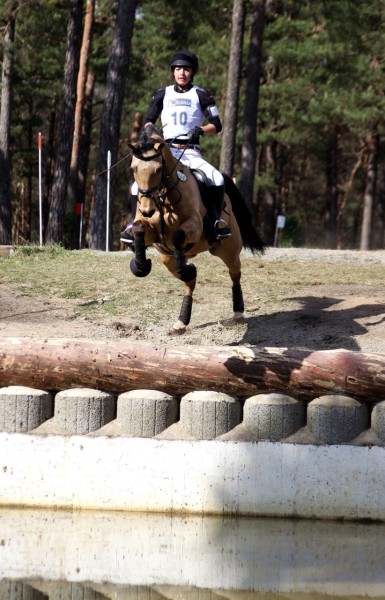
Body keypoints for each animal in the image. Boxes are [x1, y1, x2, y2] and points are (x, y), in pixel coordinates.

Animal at [127, 124, 264, 336]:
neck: (164, 197)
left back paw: (238, 310)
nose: (147, 210)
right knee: (188, 282)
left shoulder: (195, 226)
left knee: (235, 273)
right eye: (133, 168)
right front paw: (140, 265)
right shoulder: (151, 231)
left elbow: (177, 235)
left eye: (158, 169)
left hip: (228, 249)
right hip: (167, 258)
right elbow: (139, 228)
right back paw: (182, 319)